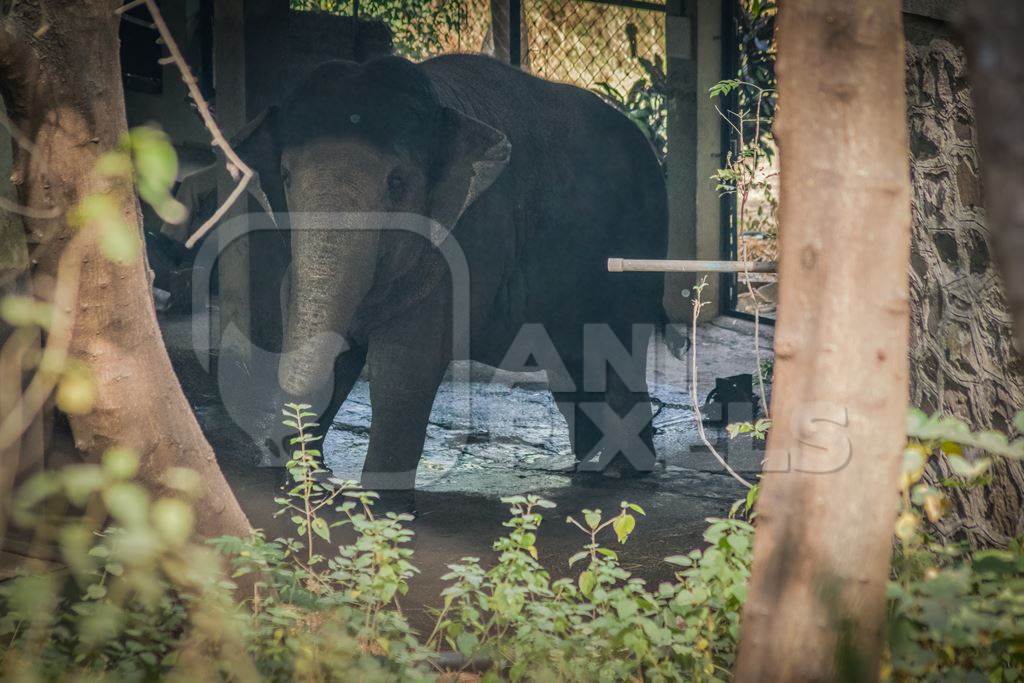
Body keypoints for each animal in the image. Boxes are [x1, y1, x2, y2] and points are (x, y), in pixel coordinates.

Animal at [234, 54, 667, 491]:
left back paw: (620, 471)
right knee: (574, 370)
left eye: (396, 182)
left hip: (635, 256)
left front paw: (381, 497)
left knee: (617, 353)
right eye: (286, 176)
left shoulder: (466, 242)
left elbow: (404, 371)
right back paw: (590, 466)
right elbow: (336, 353)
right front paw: (307, 483)